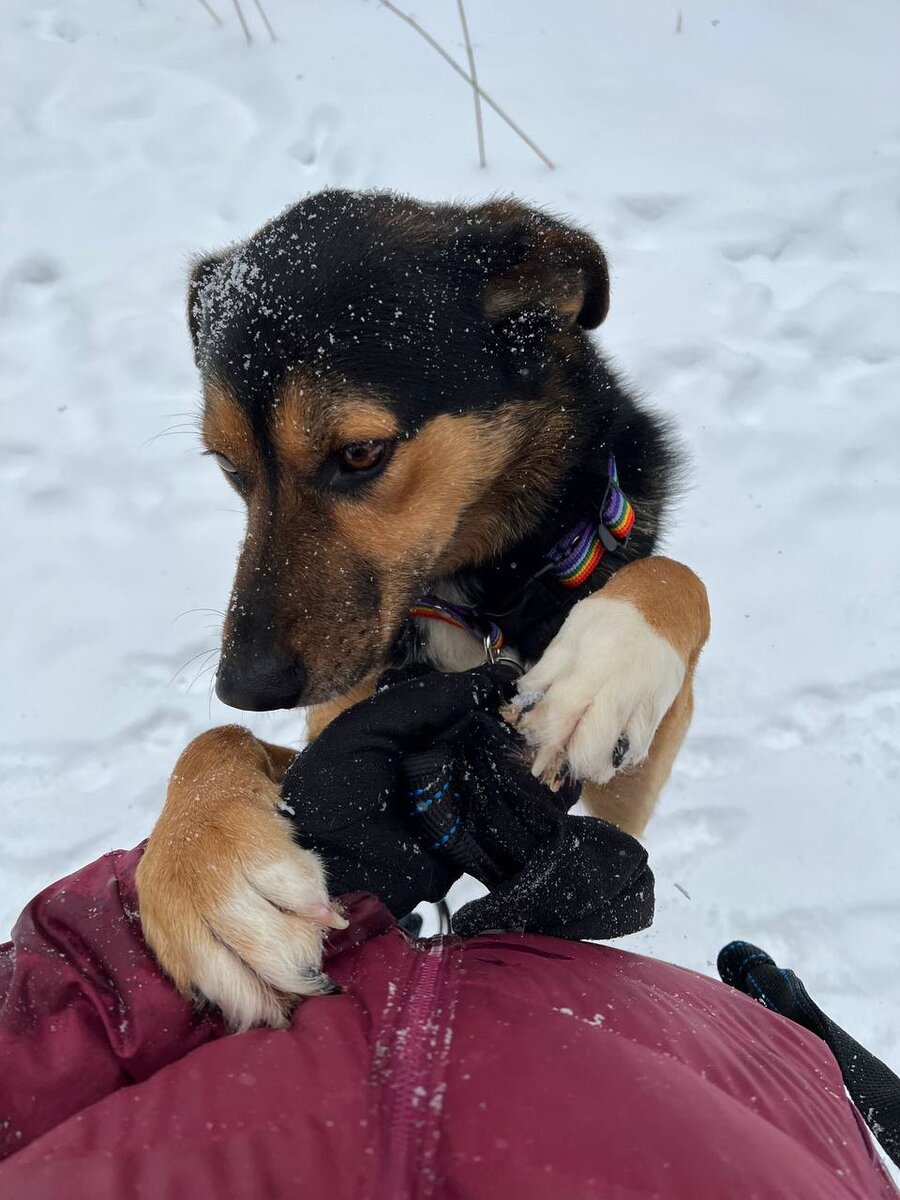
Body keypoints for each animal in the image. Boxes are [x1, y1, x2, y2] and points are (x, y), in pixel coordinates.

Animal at [137, 192, 710, 1027]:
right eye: (228, 467)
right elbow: (214, 742)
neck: (478, 598)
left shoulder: (626, 781)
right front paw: (201, 870)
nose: (243, 686)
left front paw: (603, 669)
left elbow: (676, 577)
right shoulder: (342, 719)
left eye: (360, 453)